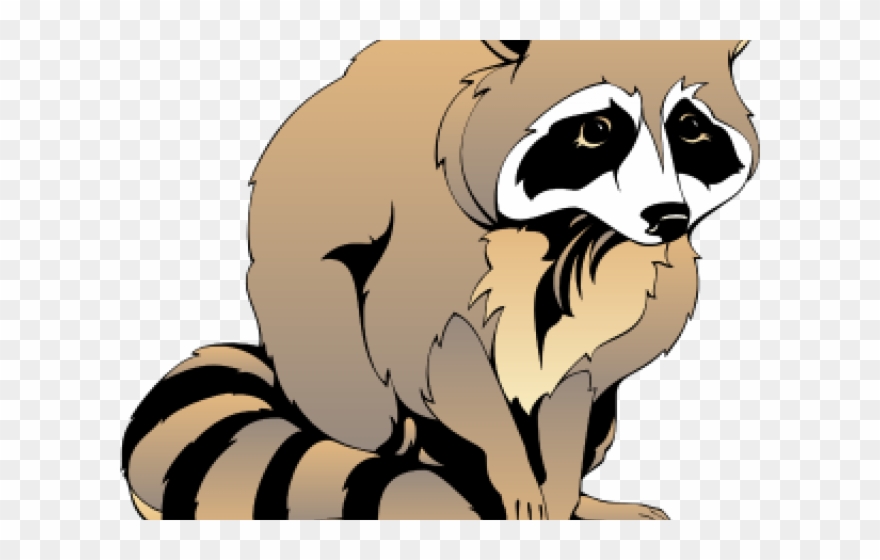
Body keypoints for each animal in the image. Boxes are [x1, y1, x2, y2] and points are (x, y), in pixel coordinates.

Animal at [122, 40, 759, 520]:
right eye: (598, 128)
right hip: (319, 343)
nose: (669, 218)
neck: (570, 229)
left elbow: (576, 379)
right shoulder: (427, 238)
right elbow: (438, 356)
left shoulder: (625, 284)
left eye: (689, 128)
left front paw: (558, 491)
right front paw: (513, 471)